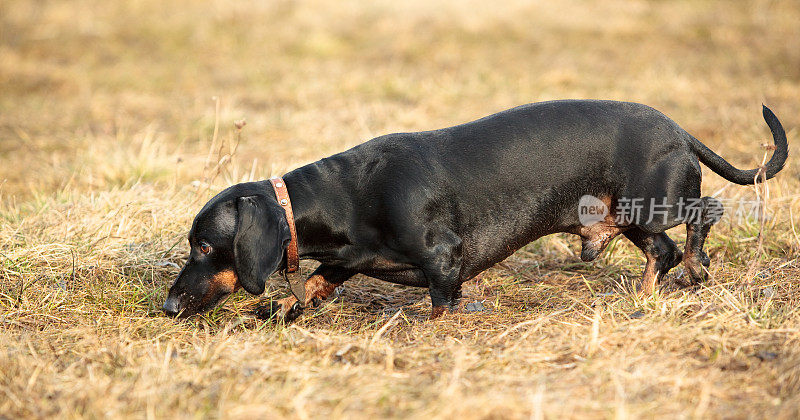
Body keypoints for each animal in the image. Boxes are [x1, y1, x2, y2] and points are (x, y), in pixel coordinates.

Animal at [162, 100, 788, 320]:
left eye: (203, 245)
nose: (166, 307)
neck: (346, 193)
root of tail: (681, 131)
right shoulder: (346, 258)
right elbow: (316, 282)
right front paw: (284, 311)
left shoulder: (444, 259)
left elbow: (443, 304)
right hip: (630, 220)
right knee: (661, 252)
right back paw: (645, 296)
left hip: (656, 204)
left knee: (705, 214)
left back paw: (698, 268)